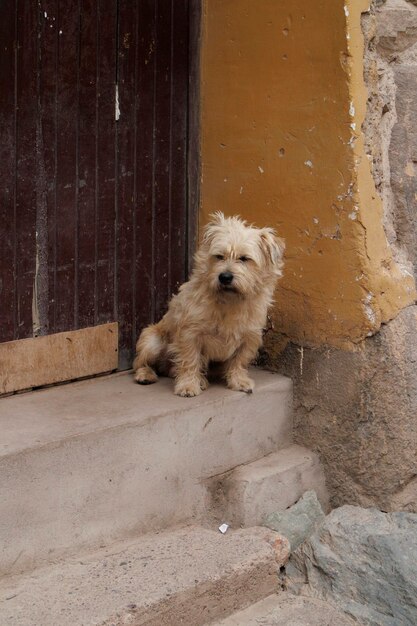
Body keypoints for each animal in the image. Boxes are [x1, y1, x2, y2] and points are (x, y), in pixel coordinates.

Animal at [133, 210, 282, 394]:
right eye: (219, 256)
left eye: (244, 258)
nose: (225, 277)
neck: (229, 300)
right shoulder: (190, 334)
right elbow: (190, 360)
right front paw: (188, 385)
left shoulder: (249, 337)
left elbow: (239, 361)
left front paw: (238, 381)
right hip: (151, 342)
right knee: (140, 363)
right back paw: (146, 374)